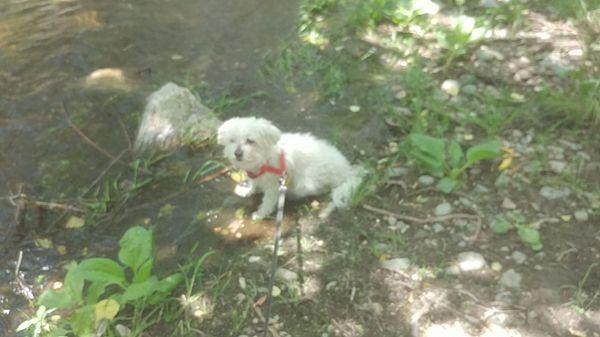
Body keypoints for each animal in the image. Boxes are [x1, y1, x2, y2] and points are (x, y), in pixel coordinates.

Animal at [218, 117, 364, 219]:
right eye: (232, 140)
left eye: (250, 141)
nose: (237, 153)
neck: (263, 159)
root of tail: (346, 172)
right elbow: (253, 183)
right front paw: (248, 190)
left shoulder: (274, 186)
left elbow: (268, 201)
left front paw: (260, 214)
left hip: (306, 183)